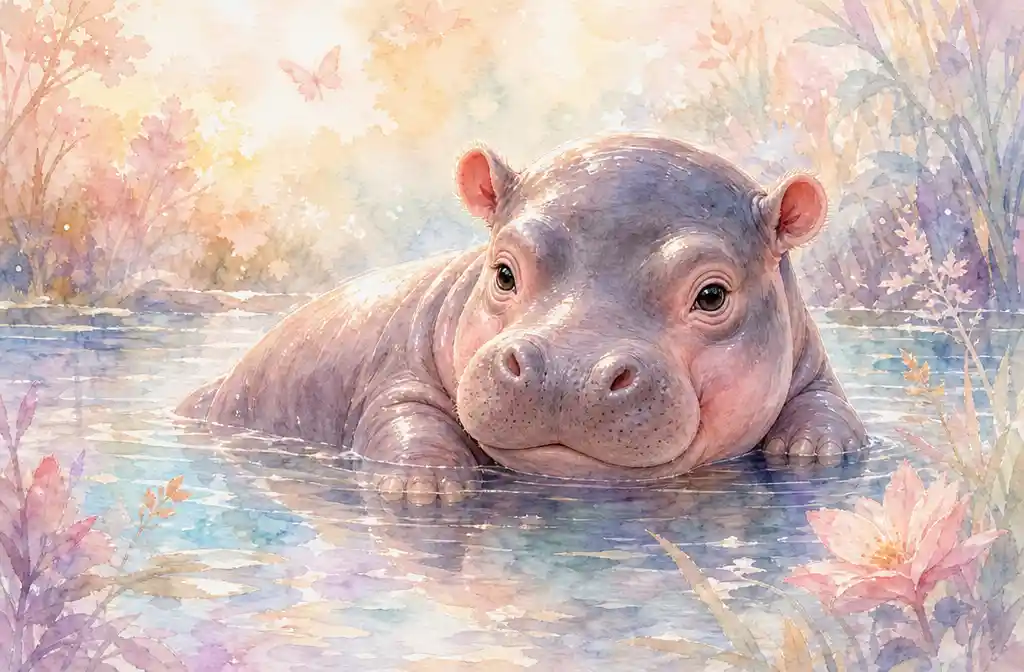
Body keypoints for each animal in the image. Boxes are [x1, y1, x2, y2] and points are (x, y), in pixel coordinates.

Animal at [177, 132, 866, 503]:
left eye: (713, 294)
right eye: (504, 271)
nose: (566, 369)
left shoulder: (811, 359)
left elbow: (830, 407)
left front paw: (816, 450)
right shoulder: (398, 367)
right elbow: (402, 414)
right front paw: (425, 485)